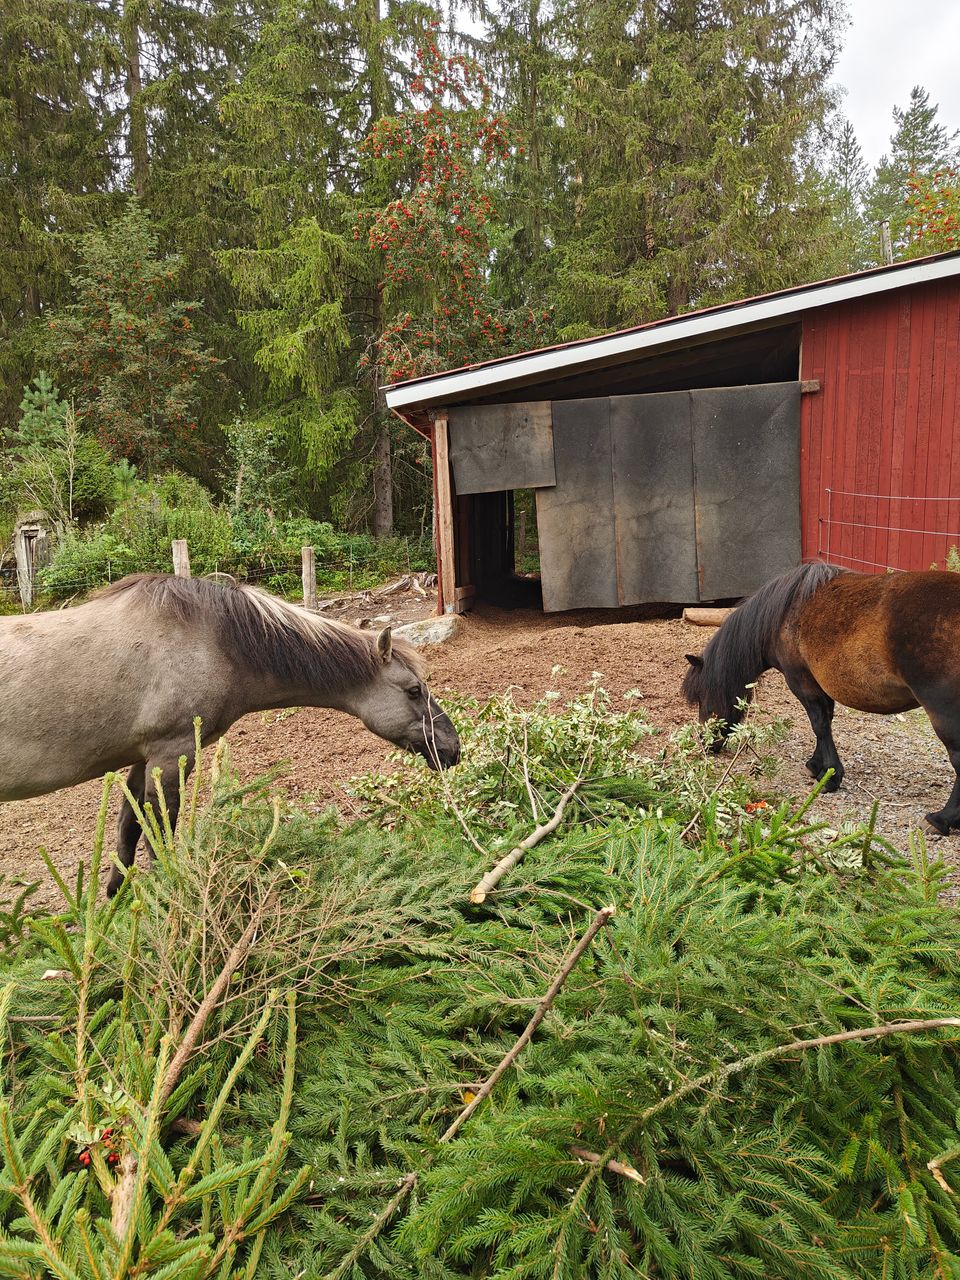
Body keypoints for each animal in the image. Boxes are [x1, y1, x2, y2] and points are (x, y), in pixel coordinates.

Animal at [1, 576, 463, 896]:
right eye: (414, 690)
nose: (452, 747)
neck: (214, 642)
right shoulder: (170, 755)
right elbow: (159, 834)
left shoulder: (141, 757)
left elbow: (129, 828)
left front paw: (115, 902)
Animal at [686, 565, 960, 834]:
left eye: (702, 698)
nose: (706, 743)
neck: (783, 615)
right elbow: (825, 722)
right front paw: (817, 765)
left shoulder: (802, 681)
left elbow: (819, 724)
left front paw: (830, 776)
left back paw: (942, 819)